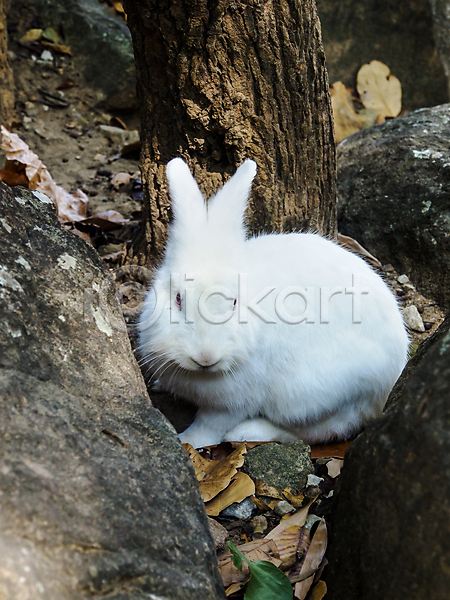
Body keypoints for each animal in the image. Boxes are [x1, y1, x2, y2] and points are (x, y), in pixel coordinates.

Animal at [139, 157, 410, 448]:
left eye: (234, 303)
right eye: (178, 299)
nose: (206, 357)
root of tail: (392, 376)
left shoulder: (233, 401)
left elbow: (211, 425)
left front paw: (188, 440)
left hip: (314, 393)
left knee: (320, 429)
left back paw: (248, 432)